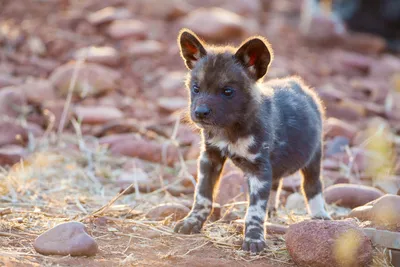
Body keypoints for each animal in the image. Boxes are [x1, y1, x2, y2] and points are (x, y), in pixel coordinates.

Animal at [173, 28, 330, 254]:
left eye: (227, 91)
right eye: (196, 88)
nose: (200, 112)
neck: (229, 130)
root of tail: (300, 85)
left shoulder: (258, 169)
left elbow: (254, 210)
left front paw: (254, 239)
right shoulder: (210, 158)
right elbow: (202, 197)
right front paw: (192, 222)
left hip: (312, 159)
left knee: (312, 186)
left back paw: (320, 216)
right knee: (276, 184)